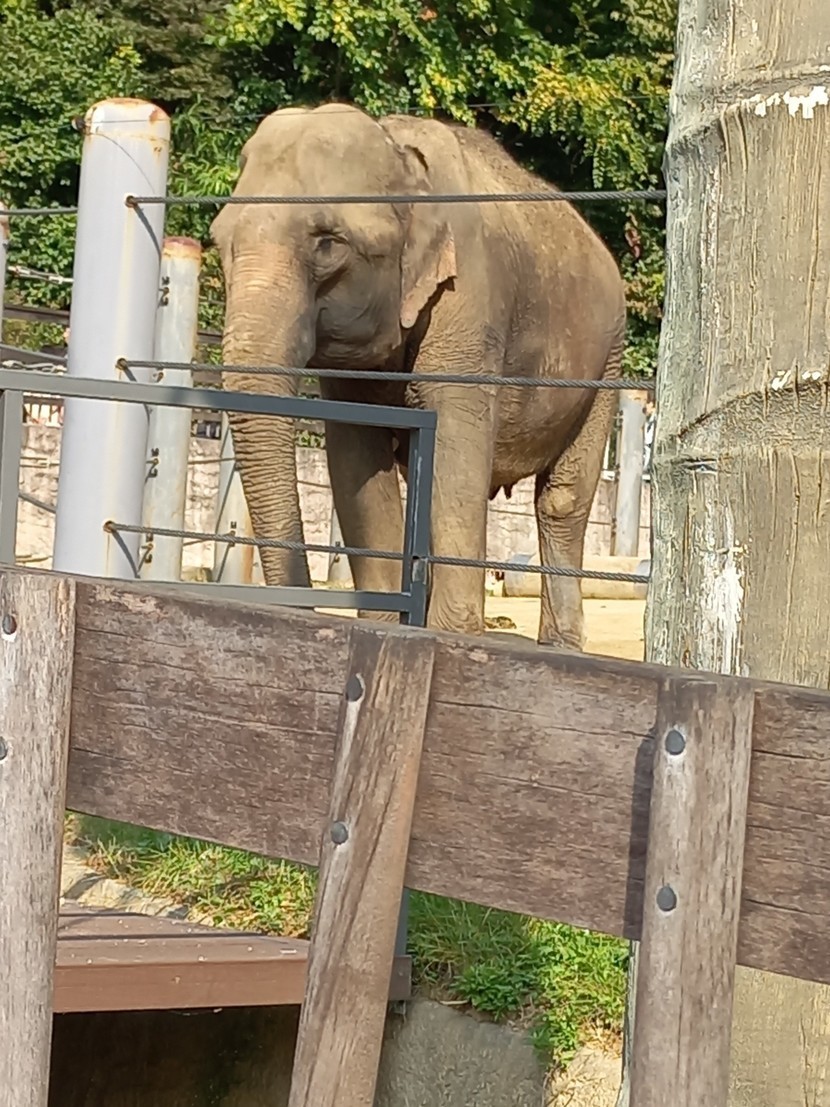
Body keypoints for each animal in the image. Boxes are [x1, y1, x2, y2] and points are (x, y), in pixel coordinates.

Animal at [211, 102, 626, 650]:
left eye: (328, 244)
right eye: (220, 241)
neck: (400, 155)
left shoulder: (468, 302)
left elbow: (456, 451)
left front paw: (450, 639)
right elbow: (357, 463)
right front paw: (389, 627)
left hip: (606, 364)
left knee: (561, 501)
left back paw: (558, 648)